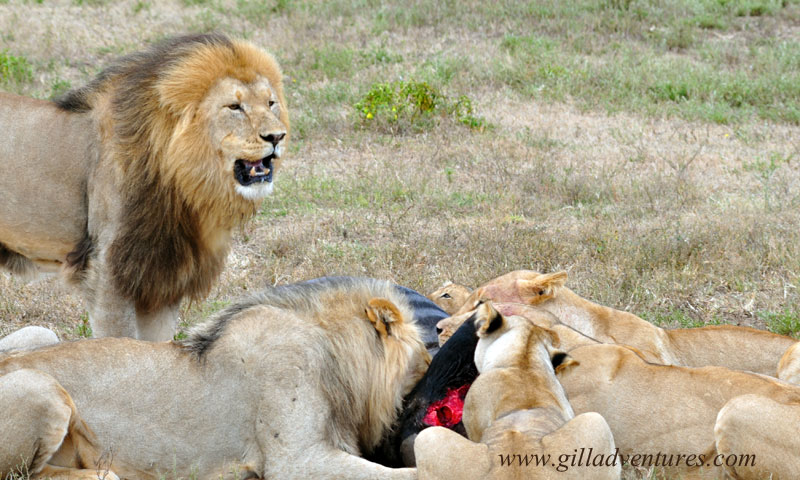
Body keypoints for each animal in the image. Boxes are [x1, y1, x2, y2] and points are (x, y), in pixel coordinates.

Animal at [0, 33, 289, 340]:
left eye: (271, 103)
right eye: (234, 107)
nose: (277, 136)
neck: (182, 186)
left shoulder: (161, 278)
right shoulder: (107, 271)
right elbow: (119, 341)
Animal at [0, 278, 429, 479]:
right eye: (425, 359)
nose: (431, 360)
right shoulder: (296, 461)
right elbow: (408, 474)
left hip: (39, 333)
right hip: (41, 388)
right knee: (25, 475)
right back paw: (105, 474)